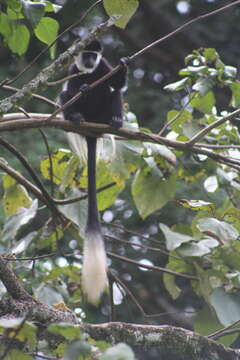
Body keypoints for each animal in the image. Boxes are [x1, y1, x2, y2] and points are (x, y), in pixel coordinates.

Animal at [59, 40, 127, 304]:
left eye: (94, 55)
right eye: (85, 54)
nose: (89, 61)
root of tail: (92, 131)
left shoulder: (103, 66)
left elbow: (117, 83)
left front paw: (124, 64)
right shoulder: (71, 70)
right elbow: (70, 86)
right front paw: (84, 87)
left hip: (103, 113)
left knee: (115, 94)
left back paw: (115, 121)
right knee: (65, 95)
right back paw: (76, 116)